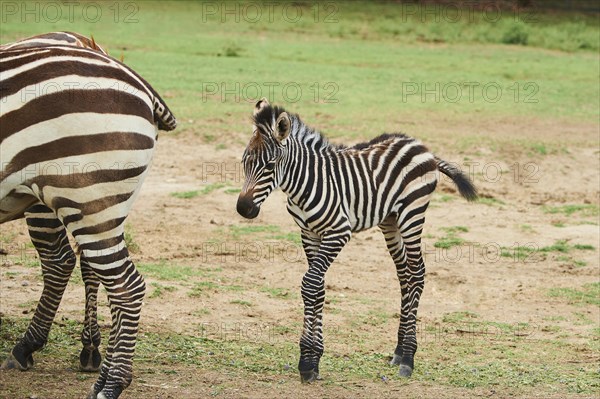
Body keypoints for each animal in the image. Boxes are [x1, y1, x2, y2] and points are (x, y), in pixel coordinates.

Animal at [0, 37, 177, 399]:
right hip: (100, 202)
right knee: (96, 269)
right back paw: (96, 356)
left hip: (71, 192)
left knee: (106, 278)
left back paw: (106, 382)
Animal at [237, 99, 476, 384]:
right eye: (244, 162)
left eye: (270, 166)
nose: (243, 209)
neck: (304, 184)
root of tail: (419, 145)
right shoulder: (308, 233)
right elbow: (317, 288)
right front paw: (314, 360)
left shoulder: (339, 232)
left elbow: (310, 284)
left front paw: (306, 361)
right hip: (390, 221)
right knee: (404, 276)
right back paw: (398, 351)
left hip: (412, 214)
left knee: (417, 273)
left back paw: (408, 358)